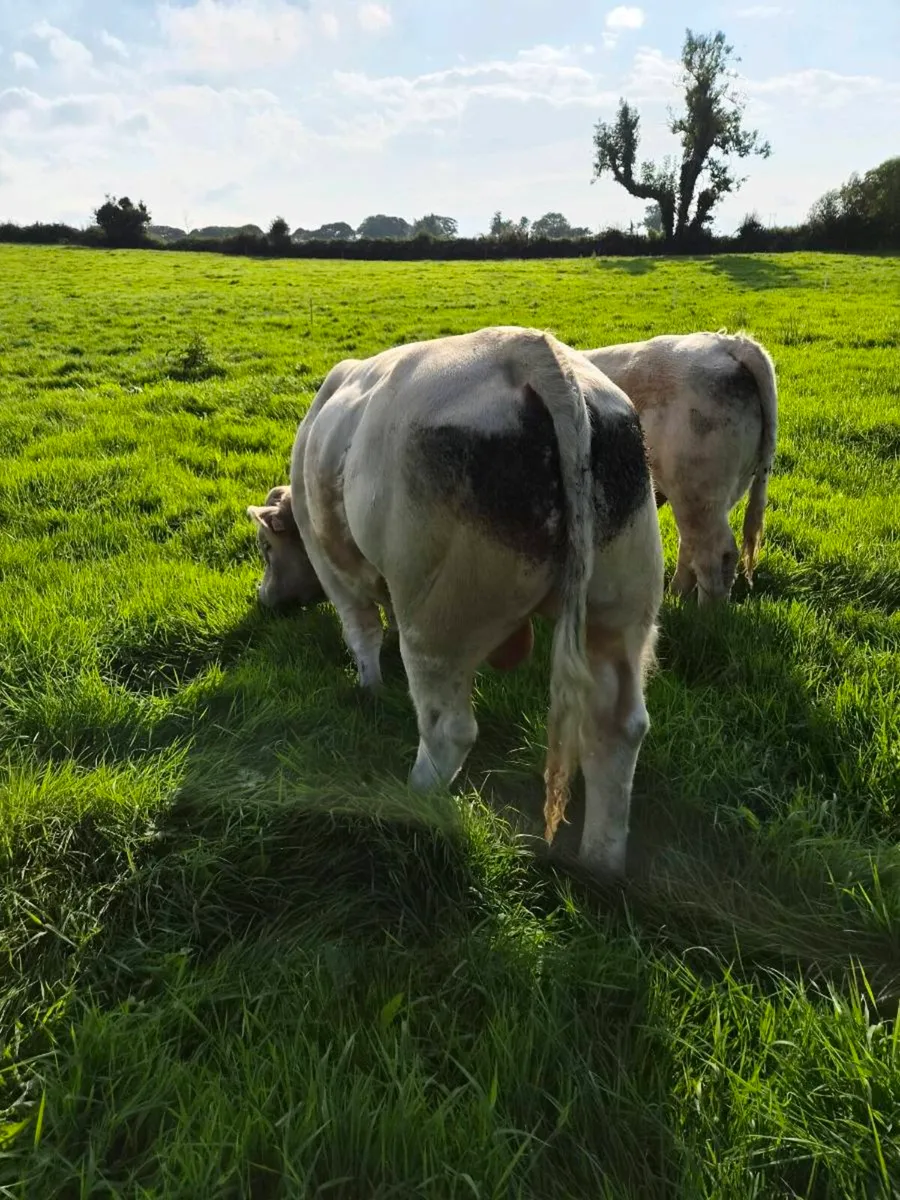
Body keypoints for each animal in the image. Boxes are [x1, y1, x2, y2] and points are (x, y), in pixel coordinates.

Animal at [248, 327, 664, 875]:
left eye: (266, 548)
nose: (264, 599)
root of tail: (528, 351)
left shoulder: (334, 568)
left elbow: (362, 632)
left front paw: (369, 688)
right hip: (619, 612)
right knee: (616, 731)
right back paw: (600, 864)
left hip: (438, 621)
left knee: (449, 730)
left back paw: (413, 800)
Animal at [582, 331, 778, 604]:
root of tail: (730, 343)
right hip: (708, 497)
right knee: (690, 546)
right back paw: (675, 596)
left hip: (695, 490)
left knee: (713, 554)